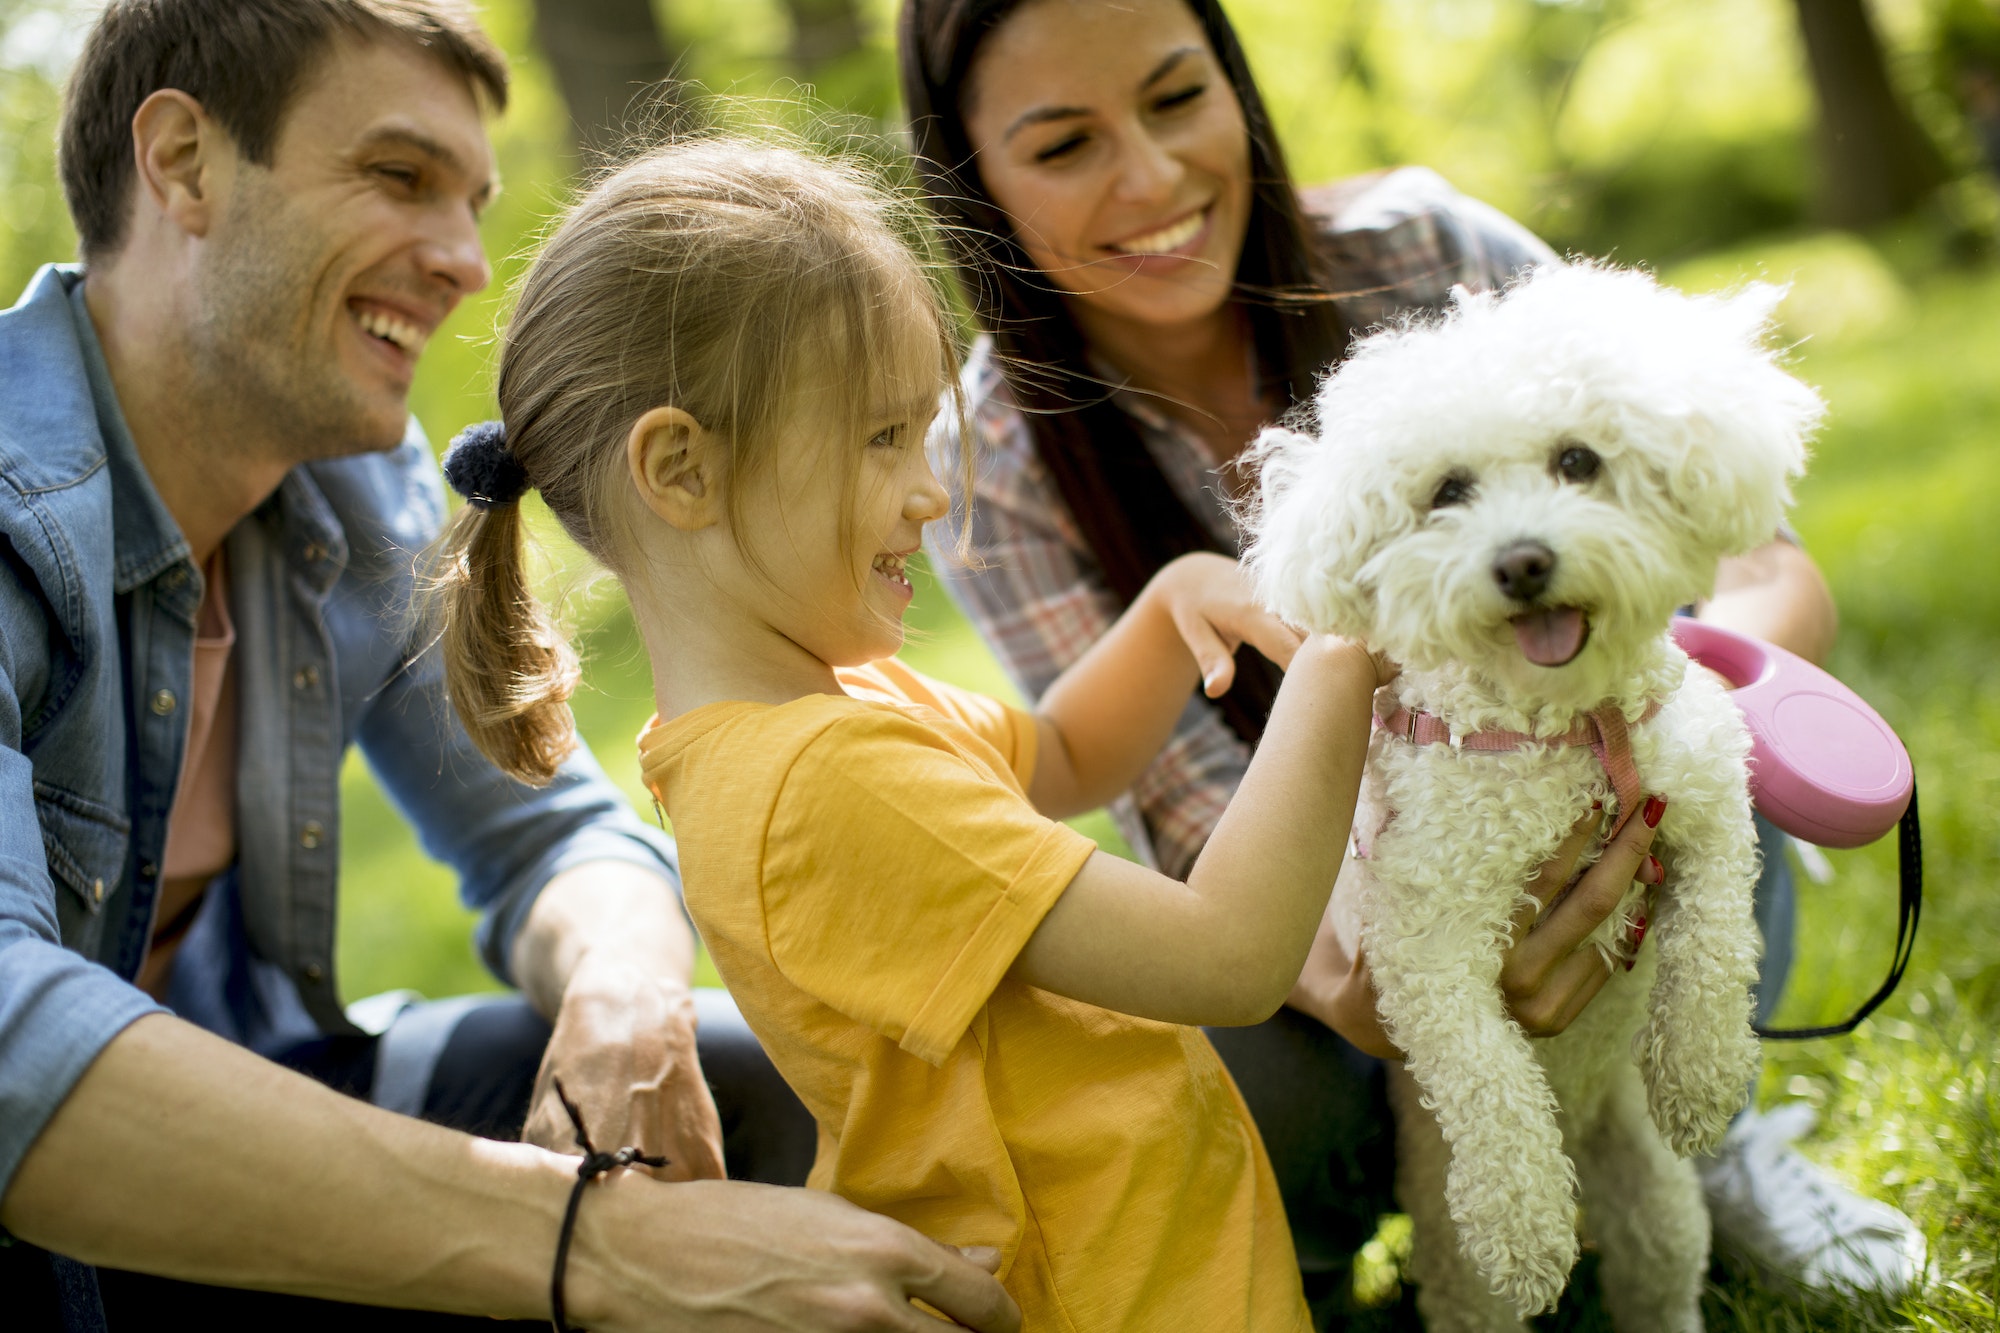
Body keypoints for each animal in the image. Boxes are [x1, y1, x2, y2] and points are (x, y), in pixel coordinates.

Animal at [1248, 264, 1832, 1320]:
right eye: (1448, 490)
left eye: (1577, 460)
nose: (1522, 560)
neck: (1570, 732)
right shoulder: (1425, 940)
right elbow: (1484, 1074)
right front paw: (1522, 1222)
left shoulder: (1708, 797)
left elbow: (1714, 936)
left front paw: (1700, 1070)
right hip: (1449, 1252)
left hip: (1656, 1207)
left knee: (1660, 1285)